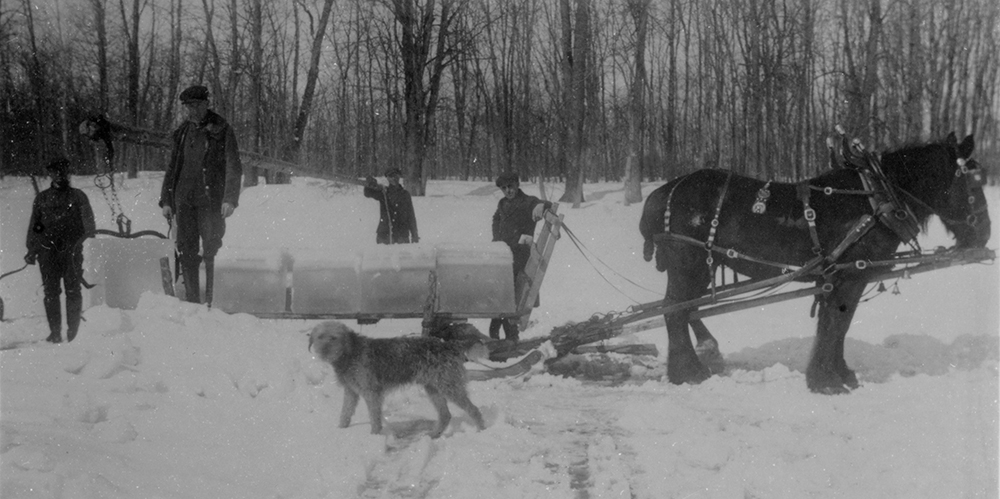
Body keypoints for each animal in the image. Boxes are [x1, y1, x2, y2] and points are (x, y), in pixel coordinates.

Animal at [308, 322, 488, 440]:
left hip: (449, 386)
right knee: (445, 415)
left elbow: (374, 418)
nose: (323, 351)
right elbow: (345, 413)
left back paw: (481, 431)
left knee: (473, 409)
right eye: (320, 337)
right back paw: (434, 434)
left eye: (334, 338)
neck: (350, 352)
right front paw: (341, 431)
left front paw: (374, 437)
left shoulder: (371, 392)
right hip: (433, 388)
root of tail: (450, 345)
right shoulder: (351, 391)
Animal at [640, 133, 992, 394]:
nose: (985, 233)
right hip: (689, 264)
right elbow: (835, 325)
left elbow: (836, 326)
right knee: (673, 311)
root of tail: (661, 193)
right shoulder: (849, 277)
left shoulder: (839, 278)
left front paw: (841, 374)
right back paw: (688, 372)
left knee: (686, 310)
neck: (877, 200)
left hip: (702, 268)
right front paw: (826, 381)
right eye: (974, 183)